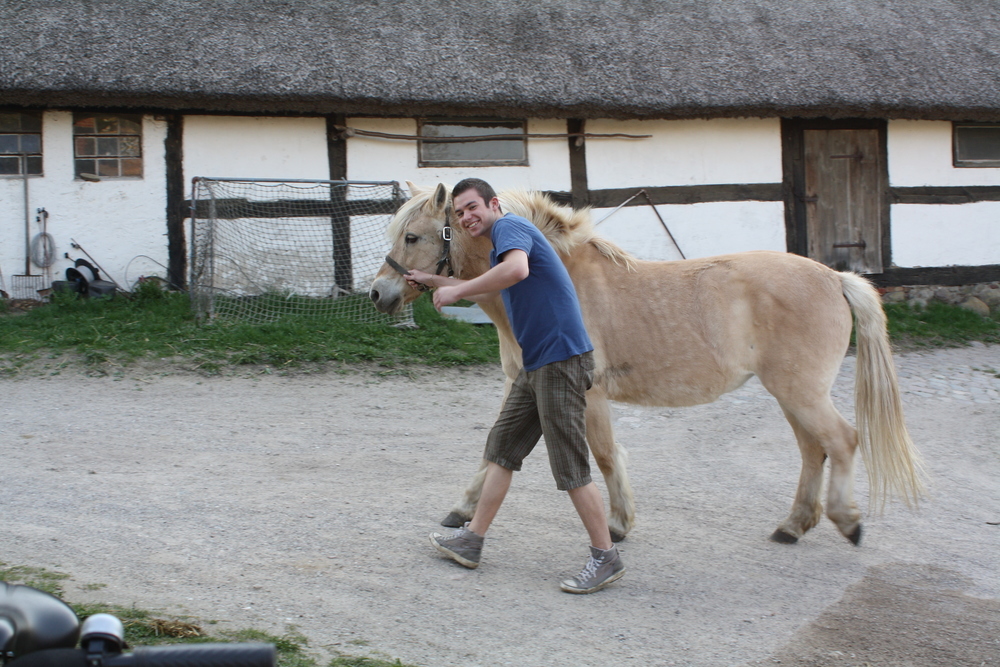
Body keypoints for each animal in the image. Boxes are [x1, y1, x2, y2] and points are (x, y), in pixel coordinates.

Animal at [368, 181, 920, 544]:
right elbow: (494, 450)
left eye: (413, 236)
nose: (378, 294)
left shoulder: (585, 394)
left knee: (842, 441)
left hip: (801, 392)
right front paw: (461, 510)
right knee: (813, 451)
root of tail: (834, 277)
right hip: (790, 395)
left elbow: (604, 456)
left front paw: (617, 524)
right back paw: (793, 525)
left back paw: (846, 520)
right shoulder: (526, 385)